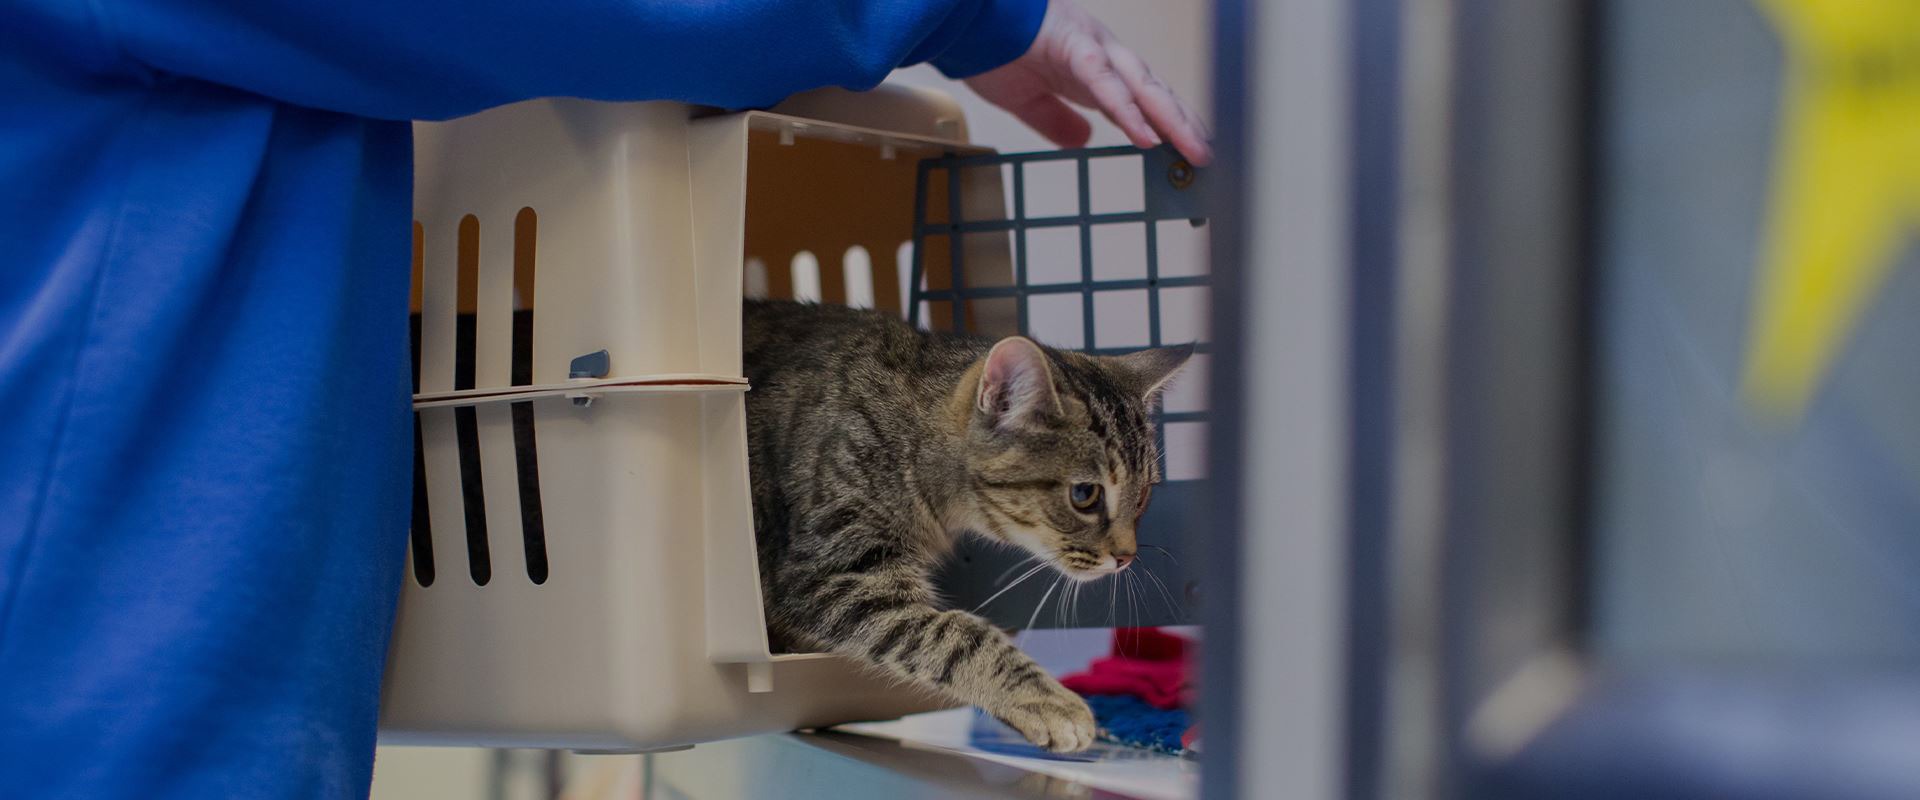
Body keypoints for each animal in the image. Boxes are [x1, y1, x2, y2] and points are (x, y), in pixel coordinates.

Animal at [744, 297, 1182, 748]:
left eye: (1143, 495)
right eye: (1085, 495)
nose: (1126, 557)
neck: (908, 437)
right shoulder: (828, 574)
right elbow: (954, 633)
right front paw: (1047, 700)